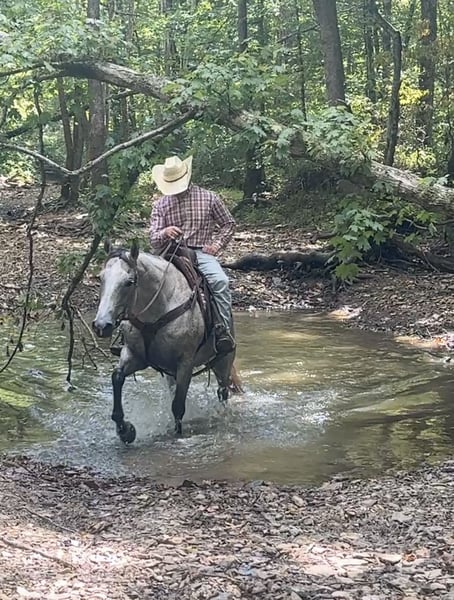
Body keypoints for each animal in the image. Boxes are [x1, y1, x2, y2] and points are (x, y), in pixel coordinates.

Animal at [92, 240, 236, 443]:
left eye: (129, 282)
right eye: (101, 278)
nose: (101, 325)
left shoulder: (185, 363)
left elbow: (178, 406)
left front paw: (176, 435)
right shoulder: (134, 355)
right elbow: (117, 377)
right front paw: (125, 430)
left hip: (224, 360)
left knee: (223, 391)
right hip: (170, 372)